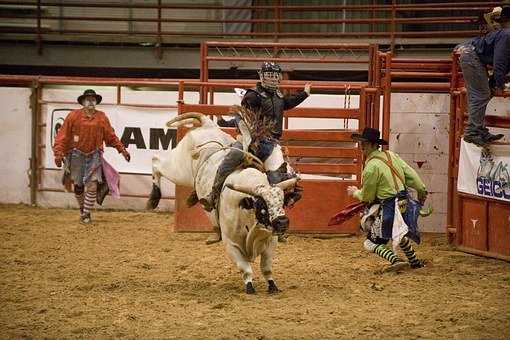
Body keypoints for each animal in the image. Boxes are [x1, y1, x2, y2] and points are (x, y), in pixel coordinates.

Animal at [146, 113, 294, 294]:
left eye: (282, 201)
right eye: (262, 206)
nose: (282, 222)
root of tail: (207, 125)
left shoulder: (270, 242)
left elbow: (266, 267)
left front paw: (272, 285)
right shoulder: (231, 244)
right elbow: (245, 268)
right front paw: (249, 285)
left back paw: (193, 198)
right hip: (178, 169)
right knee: (156, 161)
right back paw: (153, 199)